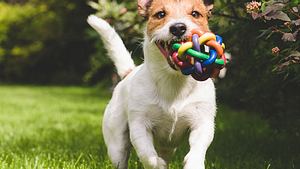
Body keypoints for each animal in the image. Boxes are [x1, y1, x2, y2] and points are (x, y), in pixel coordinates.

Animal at [88, 0, 217, 168]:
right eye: (160, 14)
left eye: (195, 14)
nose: (178, 28)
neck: (173, 80)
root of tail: (129, 73)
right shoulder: (139, 125)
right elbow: (147, 155)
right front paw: (157, 164)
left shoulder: (202, 121)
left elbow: (198, 148)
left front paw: (194, 163)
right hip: (116, 144)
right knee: (120, 156)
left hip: (168, 147)